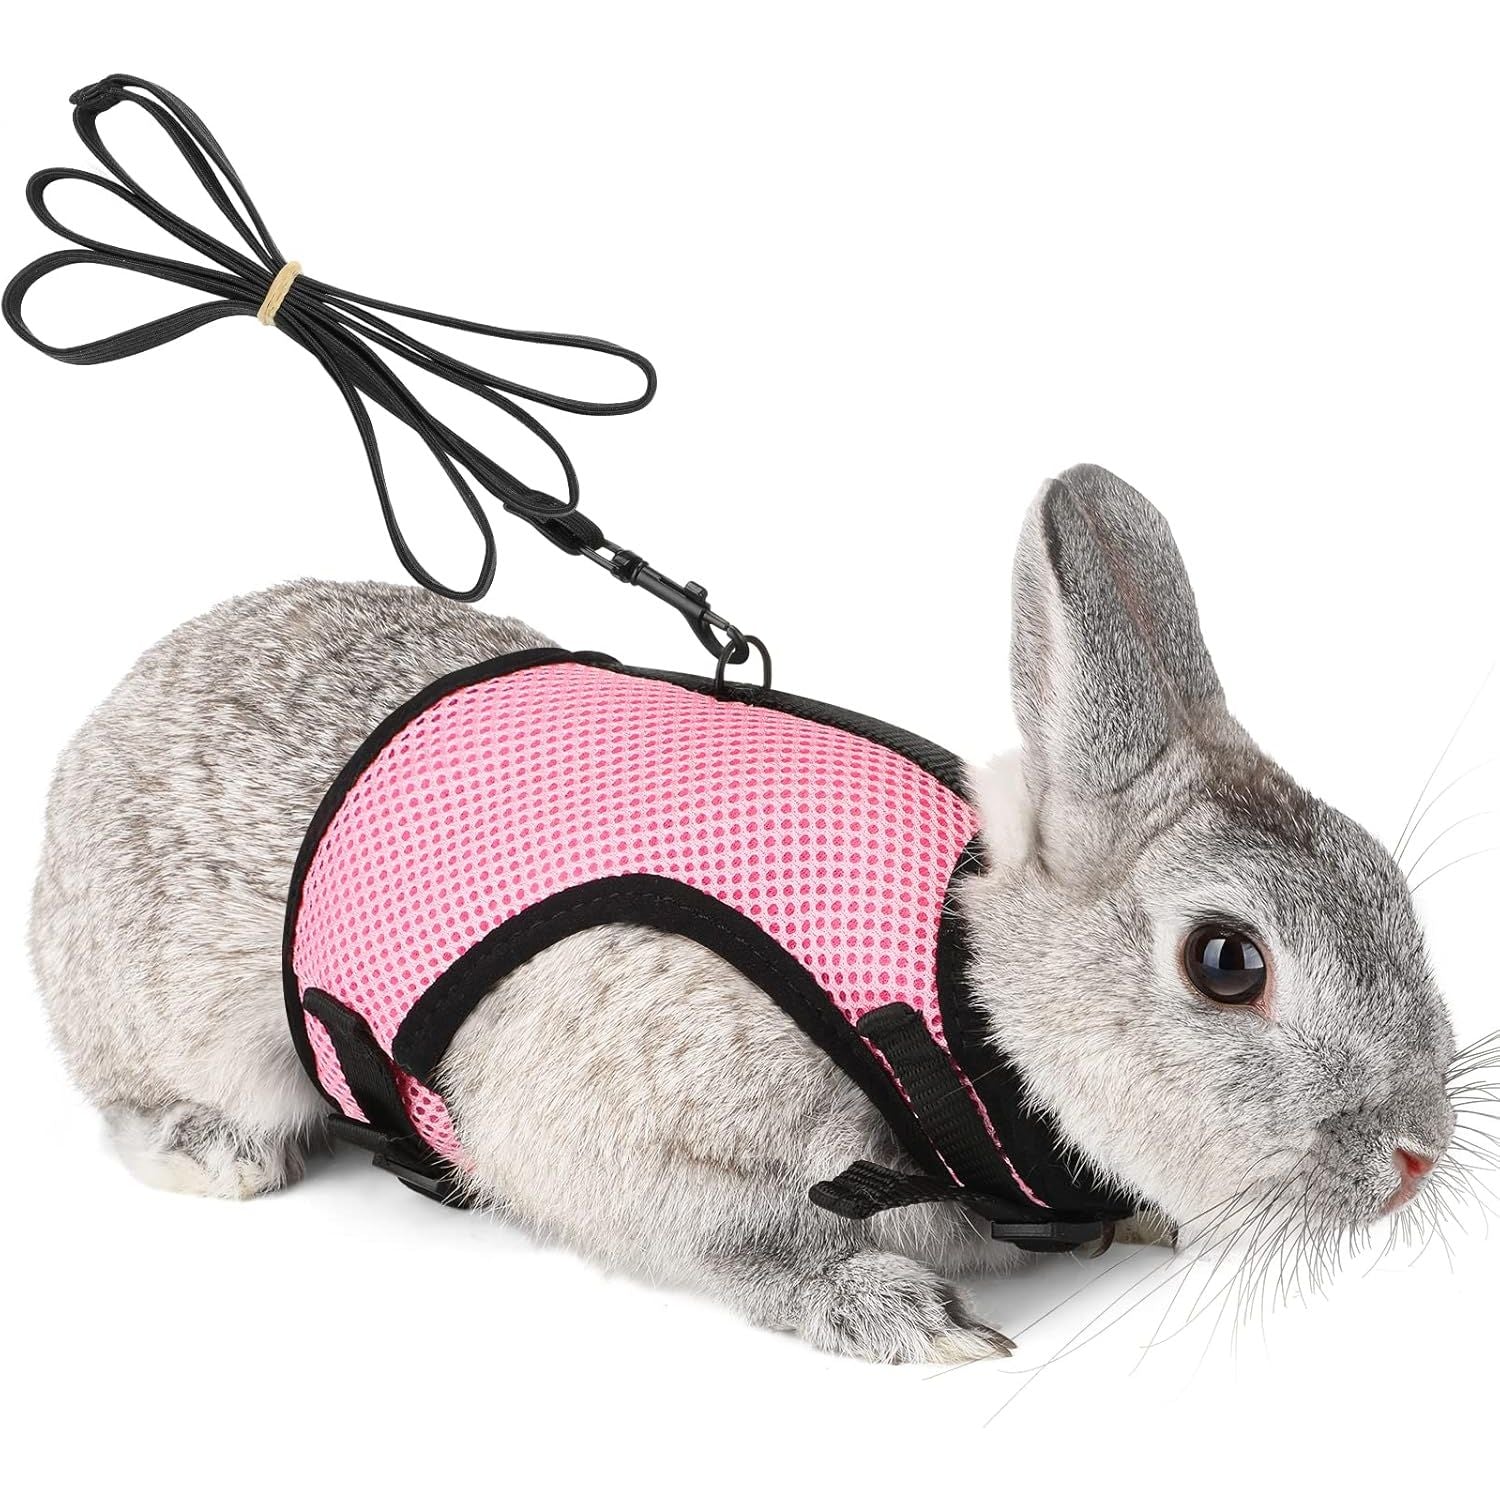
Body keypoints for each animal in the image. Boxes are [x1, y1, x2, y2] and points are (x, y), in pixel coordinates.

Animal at [28, 463, 1459, 1363]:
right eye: (1226, 961)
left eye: (1385, 886)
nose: (1418, 1156)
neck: (959, 993)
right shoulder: (615, 1125)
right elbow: (732, 1236)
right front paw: (904, 1320)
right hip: (200, 1025)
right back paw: (214, 1152)